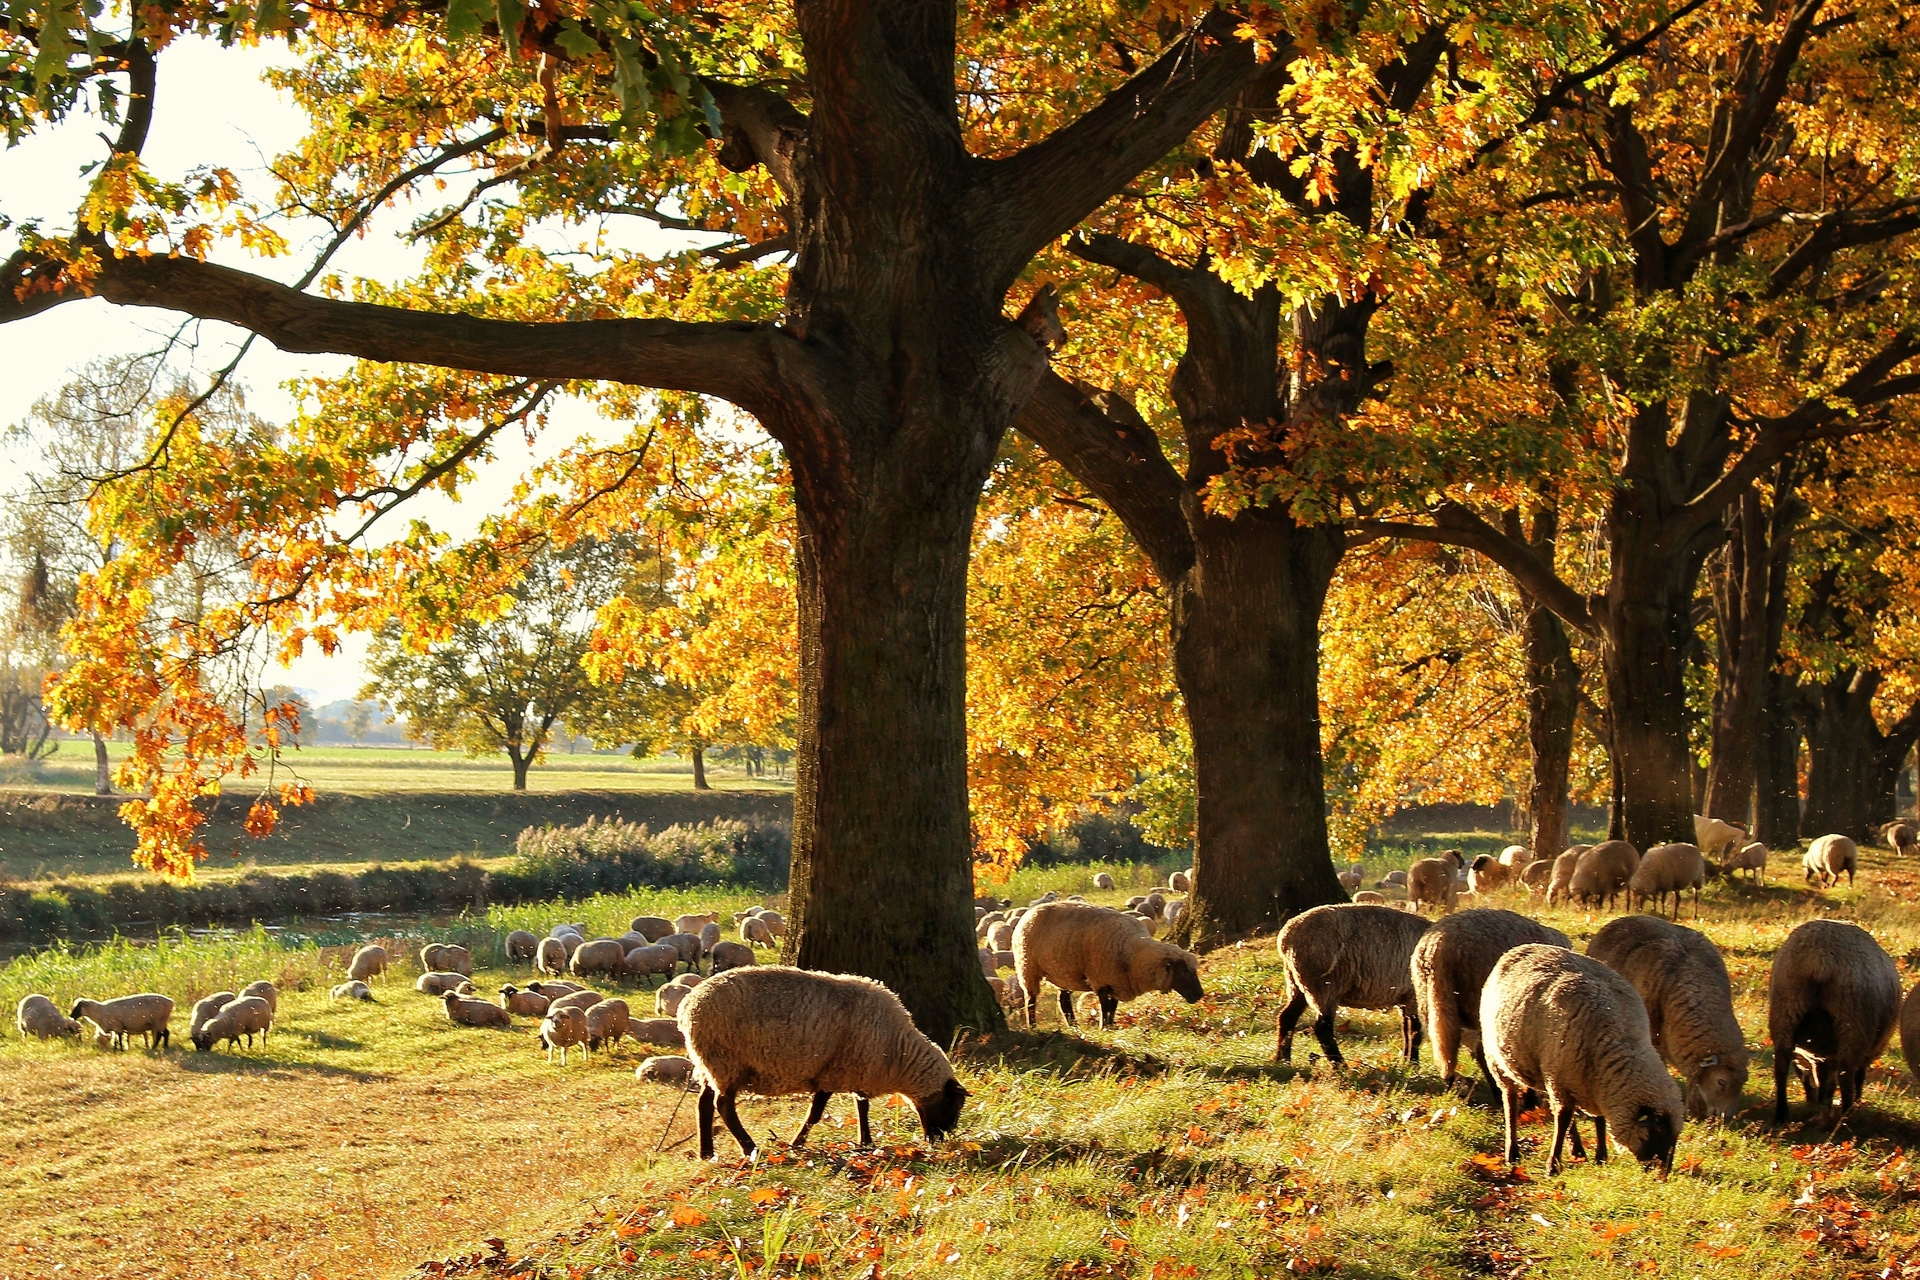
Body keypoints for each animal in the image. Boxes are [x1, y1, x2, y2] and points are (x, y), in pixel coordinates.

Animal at [679, 965, 969, 1159]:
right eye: (953, 1106)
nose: (939, 1141)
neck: (899, 1054)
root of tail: (688, 1005)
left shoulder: (855, 1070)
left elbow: (861, 1106)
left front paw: (865, 1142)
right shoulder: (832, 1073)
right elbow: (816, 1113)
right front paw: (797, 1143)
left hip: (709, 1063)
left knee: (704, 1103)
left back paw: (707, 1152)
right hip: (726, 1061)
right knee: (724, 1105)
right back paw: (750, 1148)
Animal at [1012, 901, 1204, 1030]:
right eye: (1182, 972)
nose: (1200, 995)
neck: (1133, 955)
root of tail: (1030, 911)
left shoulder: (1117, 982)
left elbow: (1113, 1006)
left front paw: (1111, 1025)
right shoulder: (1102, 979)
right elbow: (1104, 1006)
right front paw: (1104, 1027)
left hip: (1064, 971)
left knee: (1063, 1000)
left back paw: (1073, 1026)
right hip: (1027, 967)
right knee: (1031, 999)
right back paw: (1033, 1025)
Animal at [1273, 904, 1433, 1065]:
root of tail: (1286, 938)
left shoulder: (1406, 998)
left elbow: (1407, 1030)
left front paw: (1406, 1063)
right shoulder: (1415, 996)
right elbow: (1415, 1032)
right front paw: (1412, 1064)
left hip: (1296, 982)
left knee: (1287, 1017)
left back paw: (1283, 1059)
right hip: (1324, 986)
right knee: (1322, 1027)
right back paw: (1340, 1065)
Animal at [1481, 944, 1684, 1176]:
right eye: (1657, 1130)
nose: (1663, 1174)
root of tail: (1523, 947)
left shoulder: (1590, 1083)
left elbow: (1599, 1119)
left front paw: (1600, 1157)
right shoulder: (1563, 1078)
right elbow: (1563, 1119)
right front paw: (1552, 1165)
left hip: (1553, 1072)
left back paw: (1577, 1150)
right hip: (1499, 1059)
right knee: (1511, 1100)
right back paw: (1512, 1152)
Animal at [1768, 919, 1899, 1122]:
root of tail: (1819, 957)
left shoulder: (1821, 1053)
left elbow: (1824, 1078)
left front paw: (1823, 1104)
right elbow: (1857, 1076)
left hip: (1786, 1009)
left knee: (1781, 1064)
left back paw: (1781, 1113)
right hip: (1854, 1023)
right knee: (1846, 1074)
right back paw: (1846, 1116)